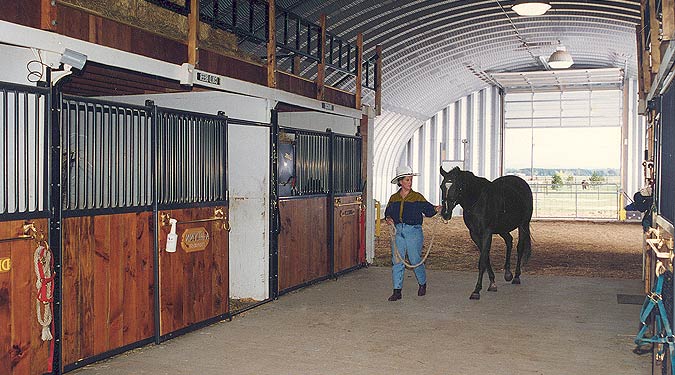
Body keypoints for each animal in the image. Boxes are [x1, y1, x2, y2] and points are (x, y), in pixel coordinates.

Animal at [440, 167, 536, 300]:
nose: (445, 213)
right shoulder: (475, 234)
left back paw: (516, 276)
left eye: (458, 187)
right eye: (442, 186)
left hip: (523, 225)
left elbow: (482, 260)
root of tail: (523, 184)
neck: (477, 201)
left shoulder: (487, 233)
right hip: (502, 229)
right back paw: (508, 273)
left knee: (519, 247)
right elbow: (486, 258)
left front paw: (476, 291)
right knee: (509, 241)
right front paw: (492, 283)